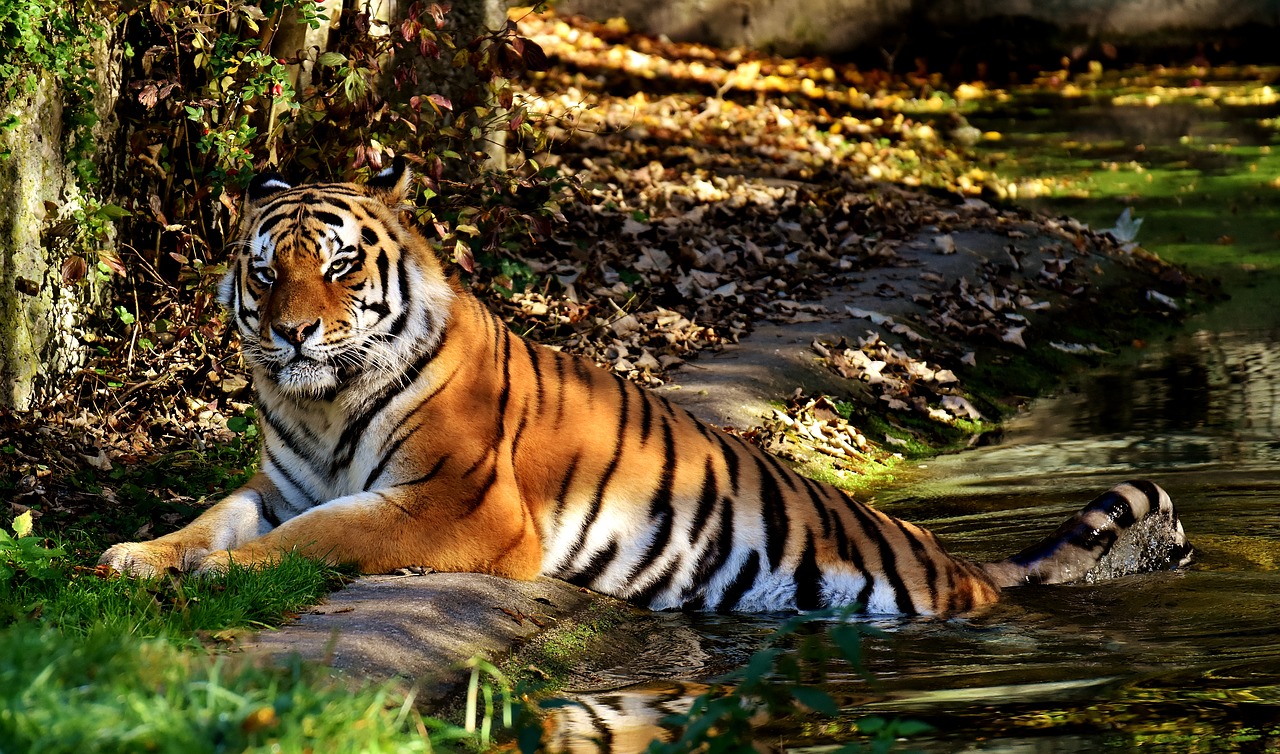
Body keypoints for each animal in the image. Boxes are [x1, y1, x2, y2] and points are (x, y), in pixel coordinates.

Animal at [97, 161, 1187, 614]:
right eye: (264, 270)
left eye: (336, 266)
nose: (290, 332)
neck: (316, 403)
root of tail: (955, 563)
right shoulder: (276, 483)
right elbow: (213, 518)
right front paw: (138, 556)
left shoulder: (457, 504)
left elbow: (323, 536)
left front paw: (221, 576)